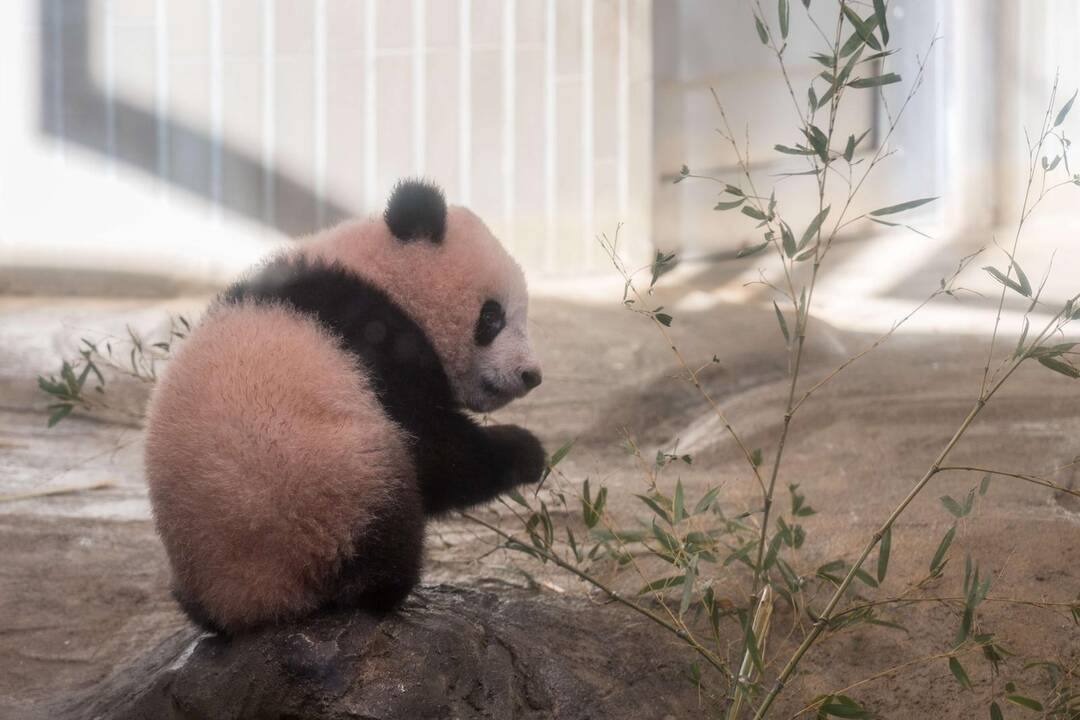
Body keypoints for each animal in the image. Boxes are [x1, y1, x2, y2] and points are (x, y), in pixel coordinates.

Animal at [143, 179, 544, 630]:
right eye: (492, 317)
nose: (531, 375)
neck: (379, 271)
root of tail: (251, 602)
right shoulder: (375, 339)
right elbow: (437, 451)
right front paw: (528, 452)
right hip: (331, 491)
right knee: (383, 521)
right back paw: (384, 590)